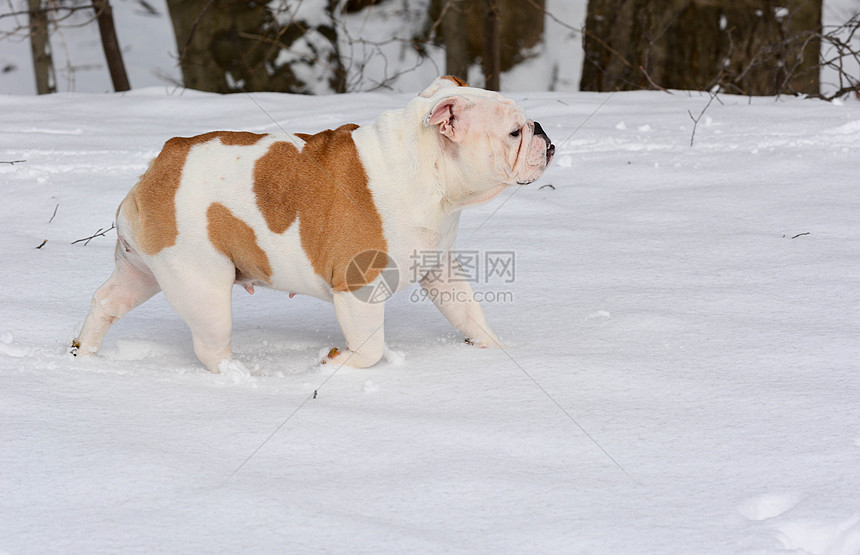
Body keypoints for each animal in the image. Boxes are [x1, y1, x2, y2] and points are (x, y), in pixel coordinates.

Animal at [75, 77, 556, 374]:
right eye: (514, 133)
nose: (542, 131)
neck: (430, 169)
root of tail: (161, 165)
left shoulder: (440, 269)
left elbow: (469, 314)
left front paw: (495, 351)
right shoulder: (358, 287)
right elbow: (371, 348)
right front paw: (334, 363)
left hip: (141, 270)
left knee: (107, 302)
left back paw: (83, 353)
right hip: (202, 284)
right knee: (211, 346)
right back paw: (241, 376)